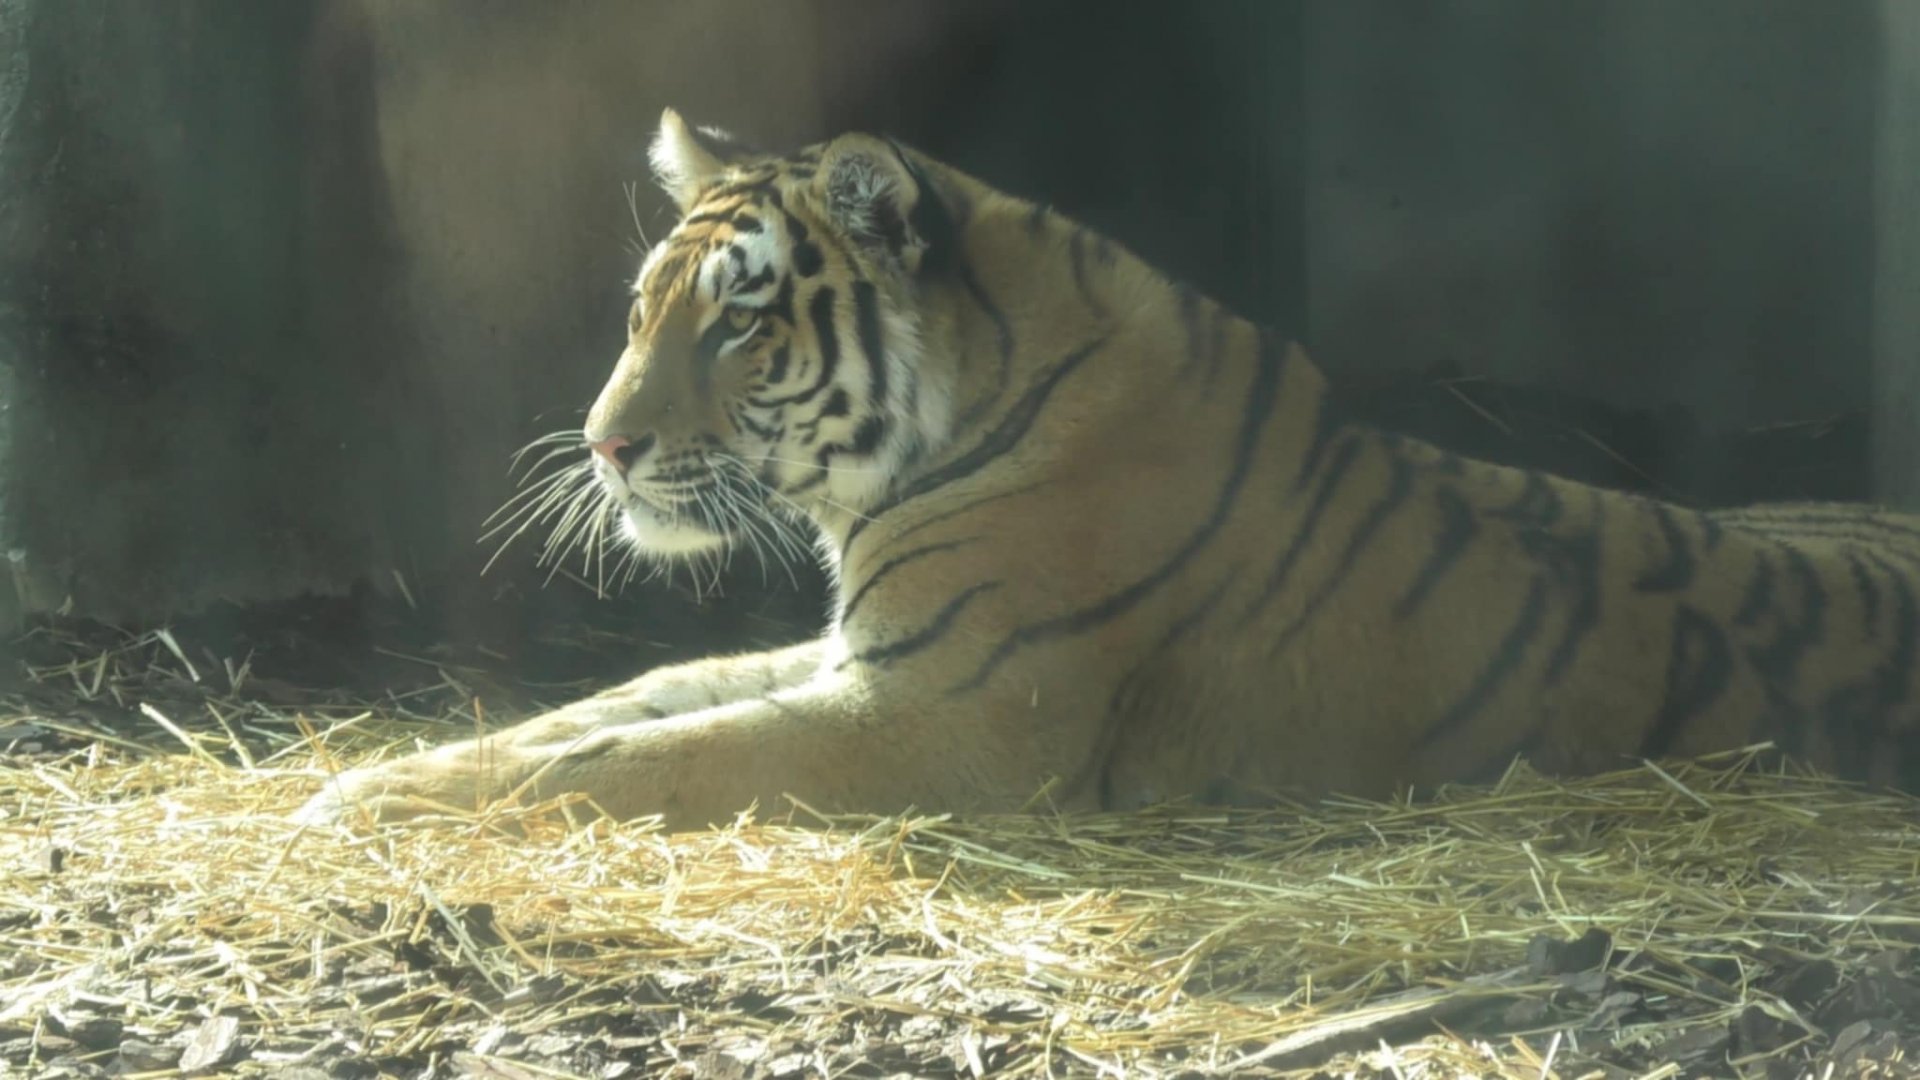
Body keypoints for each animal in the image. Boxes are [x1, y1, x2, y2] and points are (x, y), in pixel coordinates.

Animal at [294, 108, 1920, 832]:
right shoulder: (858, 653)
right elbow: (617, 706)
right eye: (644, 309)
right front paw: (370, 777)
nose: (606, 445)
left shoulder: (944, 717)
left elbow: (651, 756)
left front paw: (362, 814)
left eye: (741, 321)